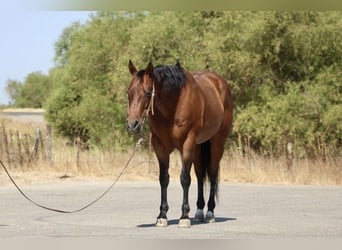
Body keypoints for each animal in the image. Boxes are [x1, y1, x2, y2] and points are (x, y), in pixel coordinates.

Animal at [127, 59, 234, 228]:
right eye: (128, 93)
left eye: (147, 93)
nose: (132, 125)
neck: (173, 107)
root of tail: (220, 82)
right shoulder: (160, 147)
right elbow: (164, 178)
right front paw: (162, 215)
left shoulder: (187, 144)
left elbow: (184, 178)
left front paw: (184, 216)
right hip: (199, 146)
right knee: (200, 174)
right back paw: (199, 210)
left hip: (216, 142)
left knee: (212, 173)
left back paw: (210, 212)